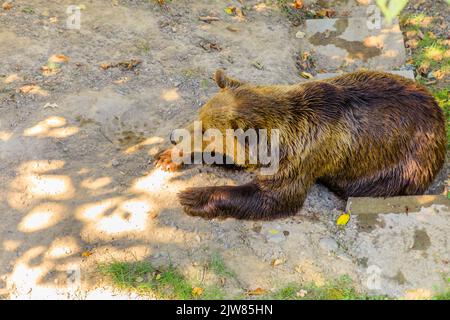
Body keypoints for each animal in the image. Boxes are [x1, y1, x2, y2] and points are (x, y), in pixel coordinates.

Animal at [156, 70, 446, 220]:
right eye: (199, 118)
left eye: (206, 130)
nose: (172, 137)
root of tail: (440, 117)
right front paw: (168, 157)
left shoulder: (303, 155)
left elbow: (274, 196)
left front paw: (193, 196)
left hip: (406, 161)